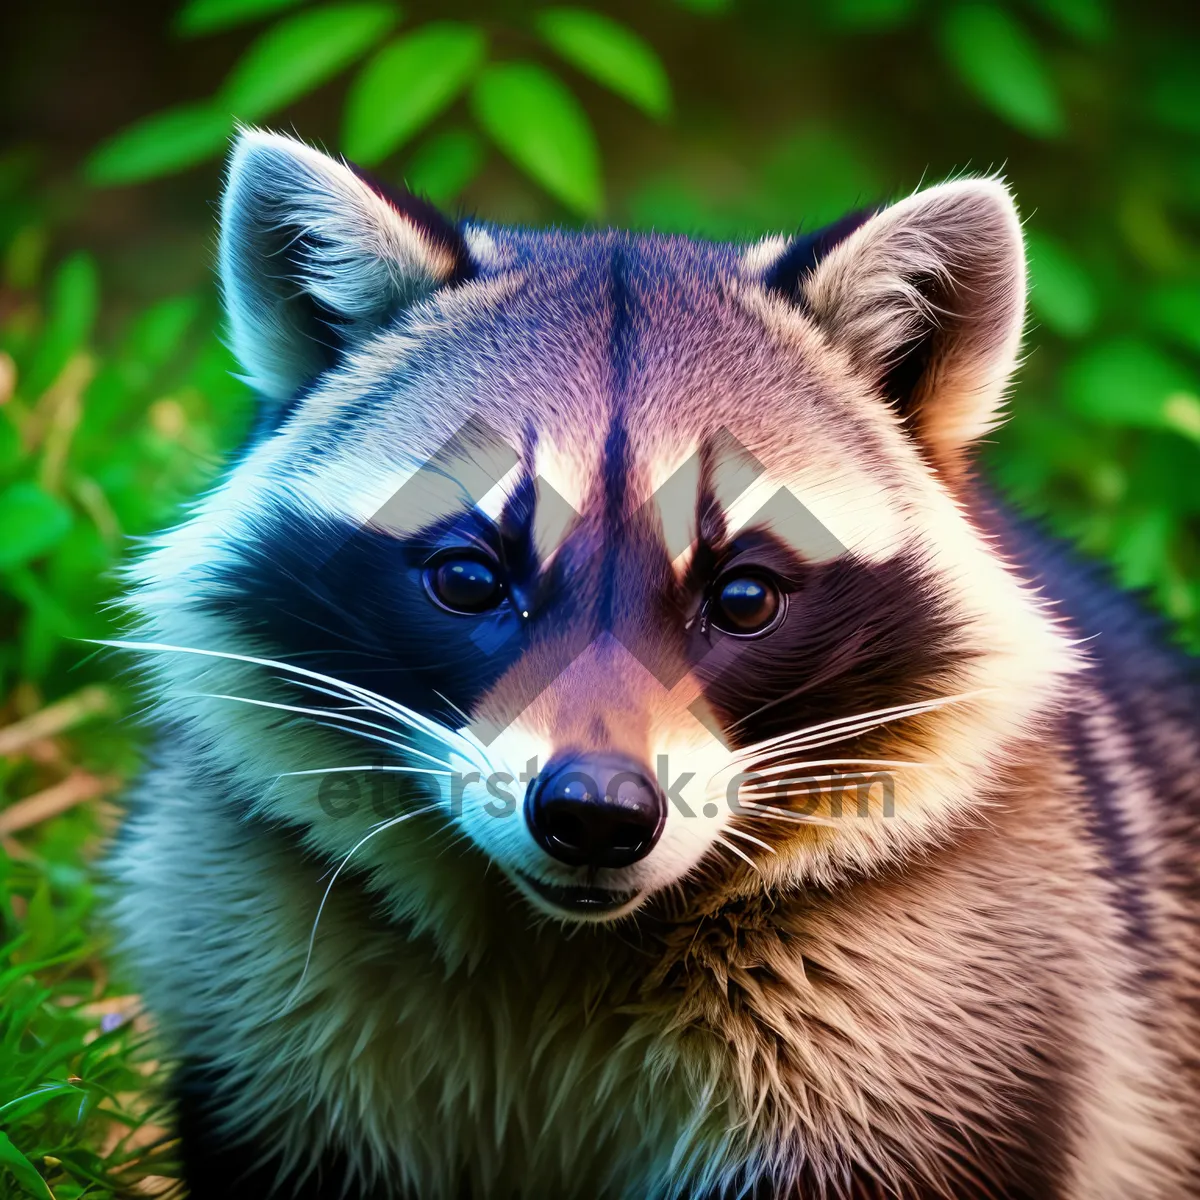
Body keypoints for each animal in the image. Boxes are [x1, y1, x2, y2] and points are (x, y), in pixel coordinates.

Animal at [105, 126, 1200, 1195]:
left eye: (744, 598)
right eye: (468, 578)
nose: (596, 813)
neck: (559, 944)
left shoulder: (932, 1004)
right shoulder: (255, 979)